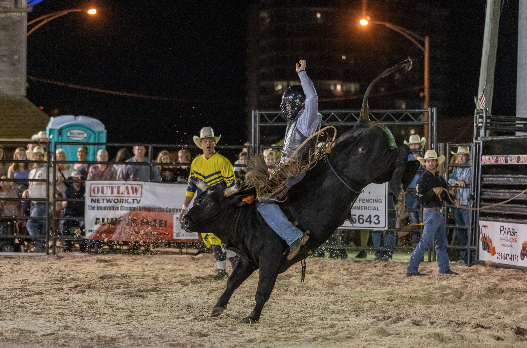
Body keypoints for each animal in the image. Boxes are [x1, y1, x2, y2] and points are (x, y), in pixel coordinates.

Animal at [182, 120, 420, 324]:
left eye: (210, 204)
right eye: (197, 200)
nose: (184, 220)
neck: (249, 217)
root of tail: (366, 124)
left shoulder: (269, 257)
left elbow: (262, 289)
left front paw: (252, 316)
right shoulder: (248, 259)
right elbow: (233, 281)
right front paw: (218, 307)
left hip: (375, 166)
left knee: (403, 152)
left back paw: (399, 192)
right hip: (379, 170)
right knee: (408, 158)